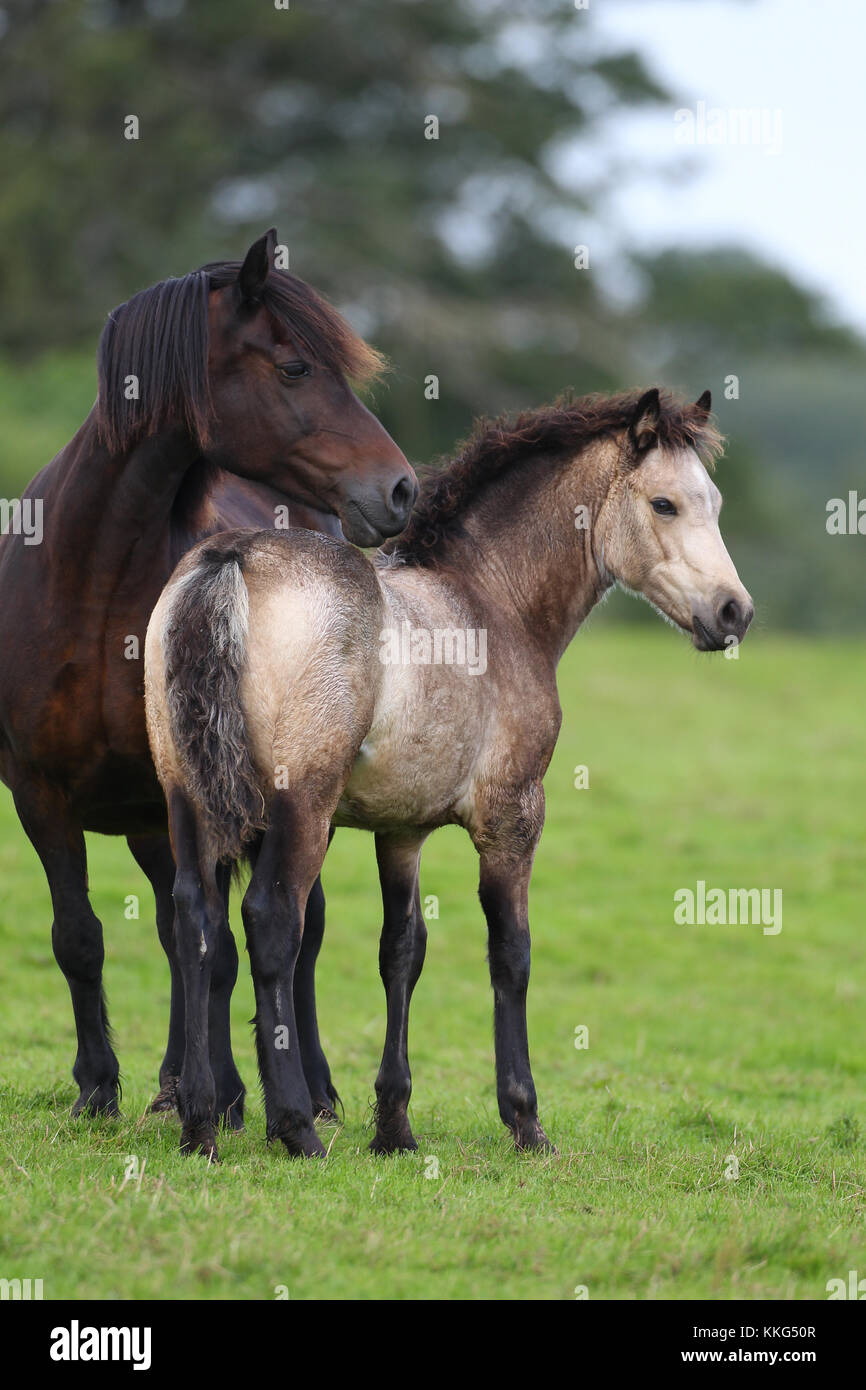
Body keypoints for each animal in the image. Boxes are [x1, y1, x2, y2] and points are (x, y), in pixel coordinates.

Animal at [0, 228, 417, 1128]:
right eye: (294, 367)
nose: (402, 488)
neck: (89, 586)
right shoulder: (38, 794)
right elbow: (81, 938)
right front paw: (99, 1087)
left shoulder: (198, 795)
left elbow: (221, 945)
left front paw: (226, 1094)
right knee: (173, 923)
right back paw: (168, 1083)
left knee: (294, 929)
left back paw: (309, 1088)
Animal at [143, 385, 753, 1160]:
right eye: (665, 504)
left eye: (716, 501)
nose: (734, 612)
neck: (491, 601)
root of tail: (231, 557)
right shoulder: (513, 815)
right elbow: (511, 953)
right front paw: (525, 1120)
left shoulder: (399, 830)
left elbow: (402, 952)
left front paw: (394, 1126)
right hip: (301, 806)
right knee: (271, 922)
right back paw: (296, 1127)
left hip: (188, 798)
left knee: (197, 922)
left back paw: (199, 1123)